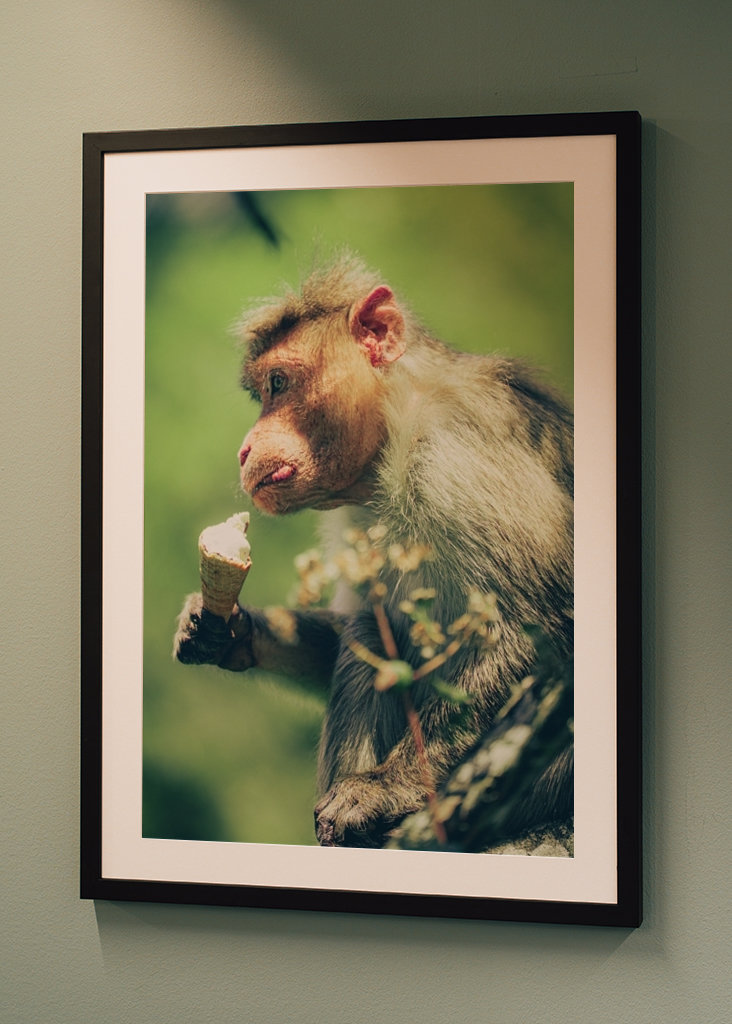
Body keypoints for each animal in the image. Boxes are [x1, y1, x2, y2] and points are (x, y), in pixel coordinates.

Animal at [174, 254, 574, 850]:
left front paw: (385, 787)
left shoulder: (462, 456)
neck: (395, 429)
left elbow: (537, 631)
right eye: (263, 391)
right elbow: (353, 624)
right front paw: (227, 630)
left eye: (278, 383)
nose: (244, 448)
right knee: (369, 627)